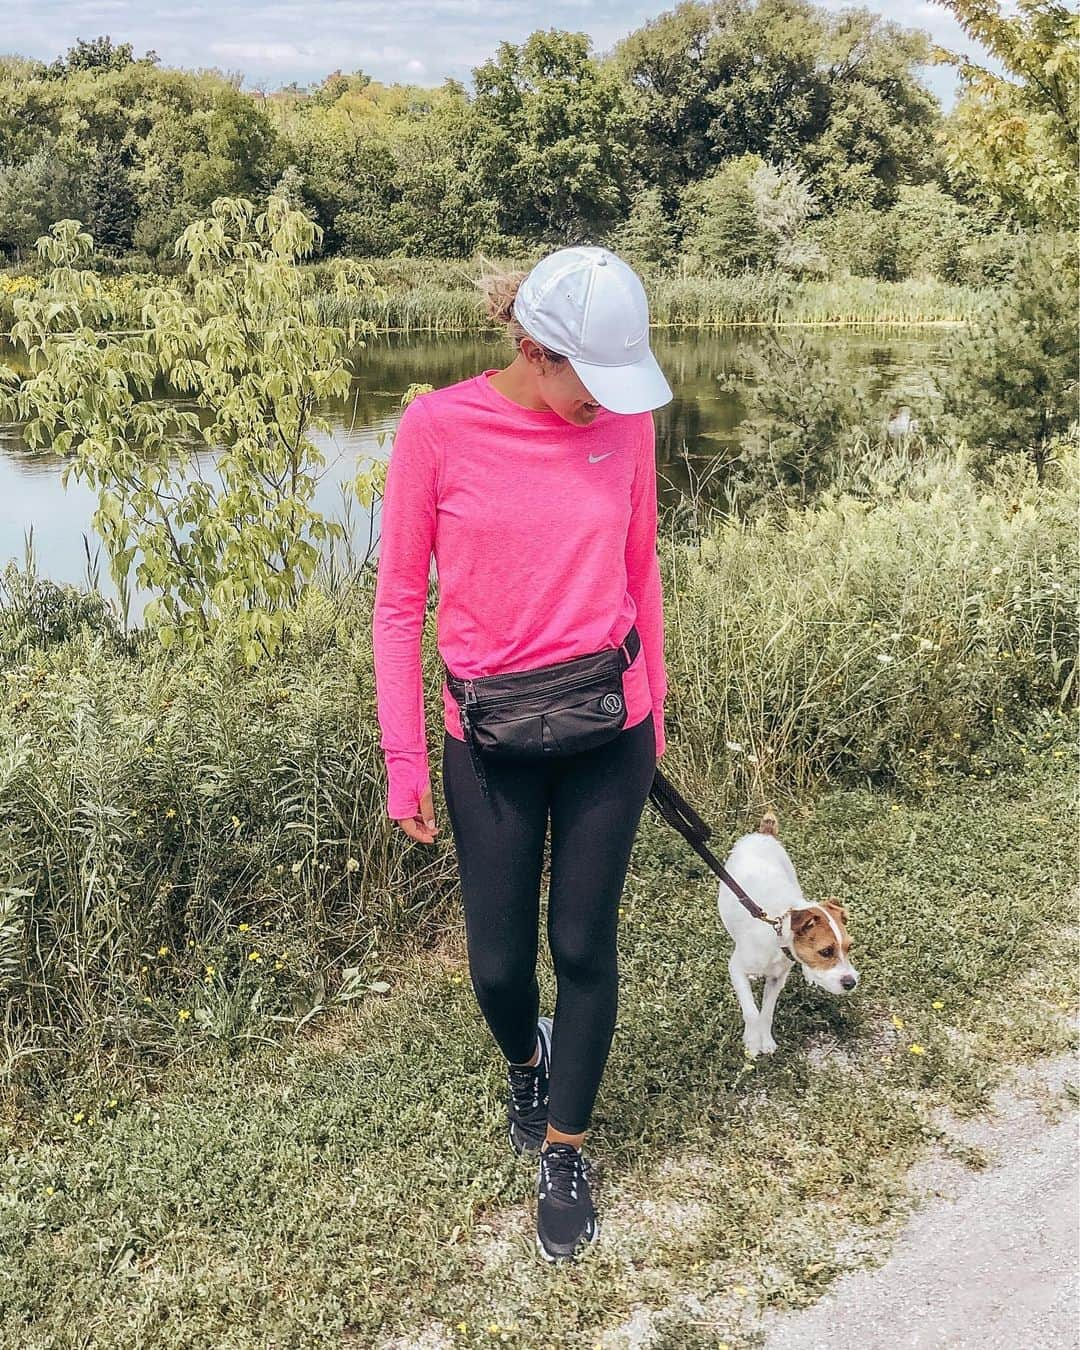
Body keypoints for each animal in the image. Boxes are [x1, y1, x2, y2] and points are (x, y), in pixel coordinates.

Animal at [718, 804, 858, 1058]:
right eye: (825, 951)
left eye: (849, 947)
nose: (851, 983)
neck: (777, 935)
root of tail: (763, 834)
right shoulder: (736, 969)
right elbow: (751, 1011)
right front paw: (752, 1042)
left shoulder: (777, 978)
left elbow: (767, 1011)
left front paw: (765, 1040)